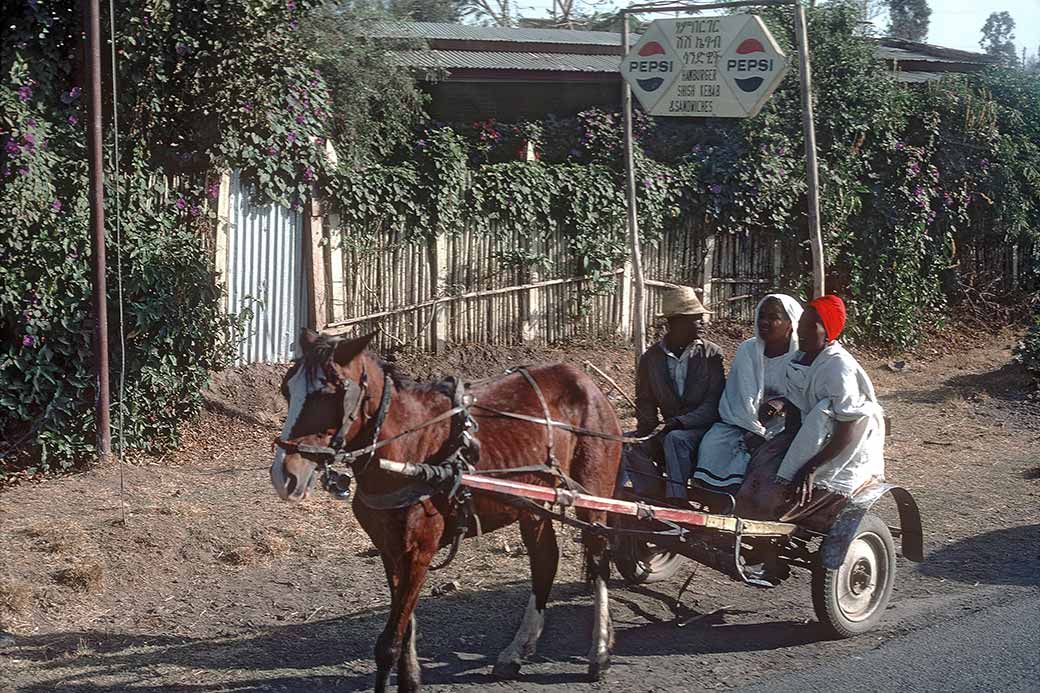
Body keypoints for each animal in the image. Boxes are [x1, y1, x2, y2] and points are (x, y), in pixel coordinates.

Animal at [270, 330, 624, 690]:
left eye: (331, 393)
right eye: (287, 388)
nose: (285, 475)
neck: (409, 451)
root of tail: (583, 380)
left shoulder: (418, 550)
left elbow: (389, 643)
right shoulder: (390, 549)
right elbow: (405, 625)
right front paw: (411, 679)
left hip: (594, 495)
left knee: (599, 560)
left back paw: (599, 651)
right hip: (534, 503)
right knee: (545, 561)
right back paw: (517, 651)